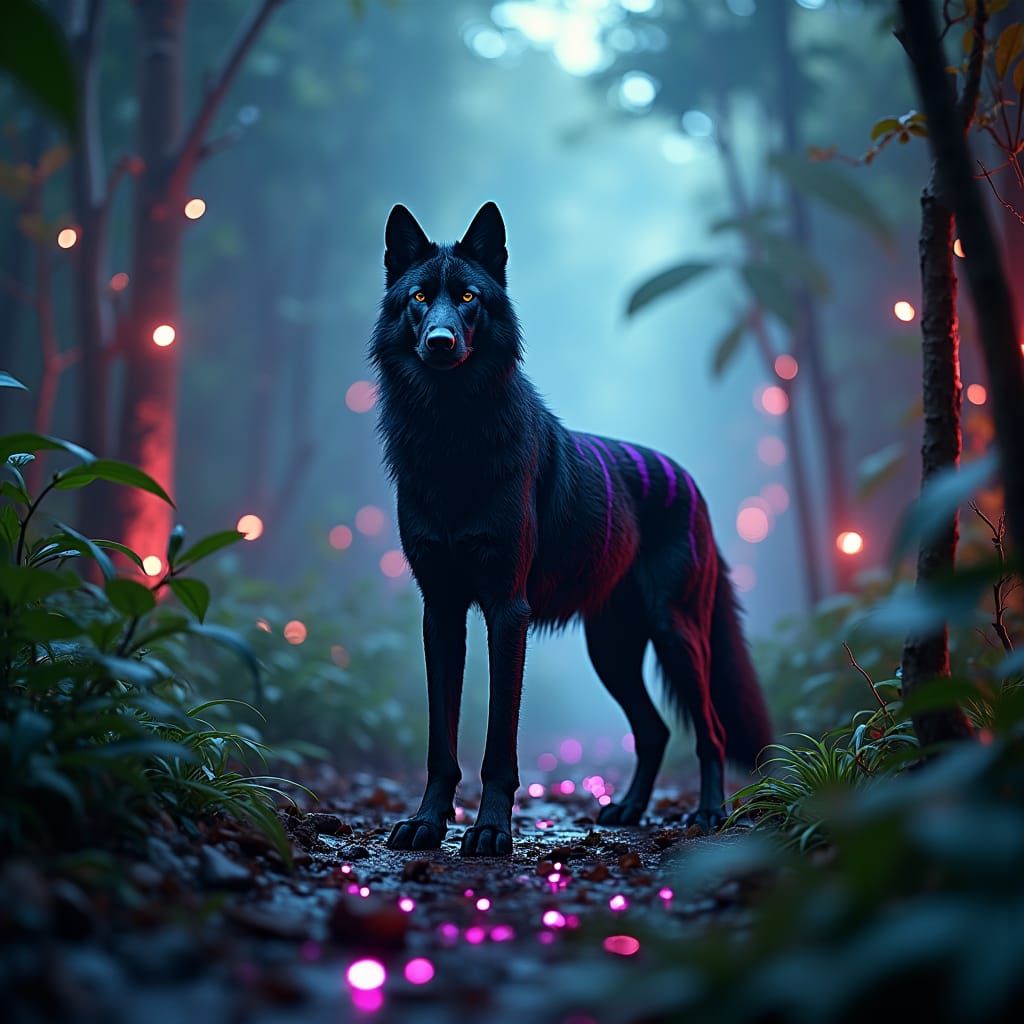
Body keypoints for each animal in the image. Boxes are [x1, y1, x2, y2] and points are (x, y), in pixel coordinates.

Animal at [371, 202, 772, 856]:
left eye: (468, 297)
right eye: (420, 297)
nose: (440, 341)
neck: (451, 435)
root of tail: (691, 483)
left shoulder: (507, 611)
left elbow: (498, 747)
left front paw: (490, 831)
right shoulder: (442, 612)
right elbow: (441, 744)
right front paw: (426, 825)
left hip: (677, 635)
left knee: (708, 729)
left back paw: (712, 813)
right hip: (611, 652)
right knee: (655, 731)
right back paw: (628, 810)